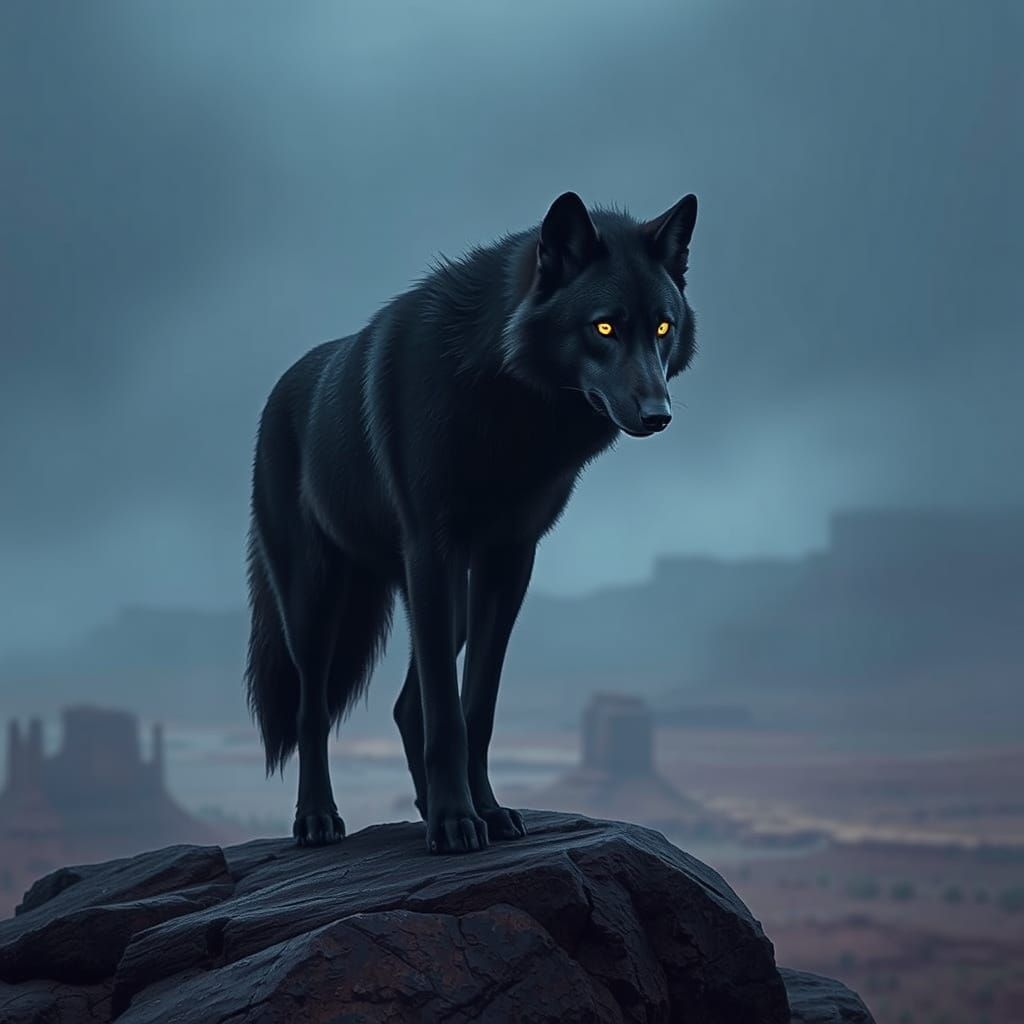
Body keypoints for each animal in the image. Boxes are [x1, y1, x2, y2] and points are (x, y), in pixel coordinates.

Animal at [245, 190, 698, 854]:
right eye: (605, 326)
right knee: (314, 709)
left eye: (663, 327)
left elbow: (474, 707)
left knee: (406, 706)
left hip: (442, 602)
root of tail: (277, 390)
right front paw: (456, 822)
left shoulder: (508, 560)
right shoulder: (432, 553)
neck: (510, 405)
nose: (658, 413)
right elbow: (446, 714)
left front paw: (484, 811)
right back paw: (318, 819)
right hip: (317, 600)